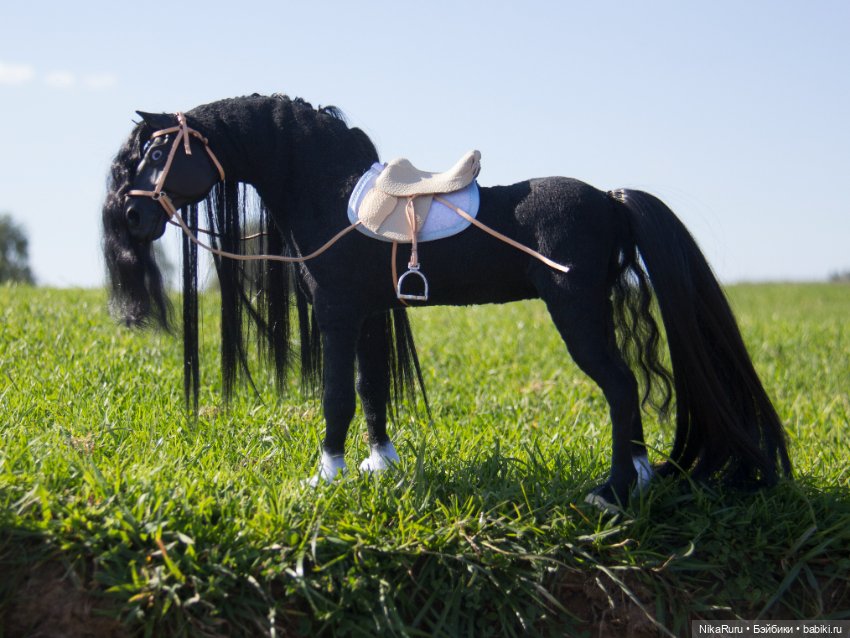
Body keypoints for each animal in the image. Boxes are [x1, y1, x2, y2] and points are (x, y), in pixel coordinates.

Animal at [102, 93, 791, 508]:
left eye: (158, 152)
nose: (132, 217)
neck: (326, 190)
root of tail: (612, 199)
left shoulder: (337, 313)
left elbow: (337, 395)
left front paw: (326, 477)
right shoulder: (370, 313)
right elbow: (372, 388)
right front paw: (379, 466)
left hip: (576, 314)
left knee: (620, 388)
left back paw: (612, 492)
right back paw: (639, 481)